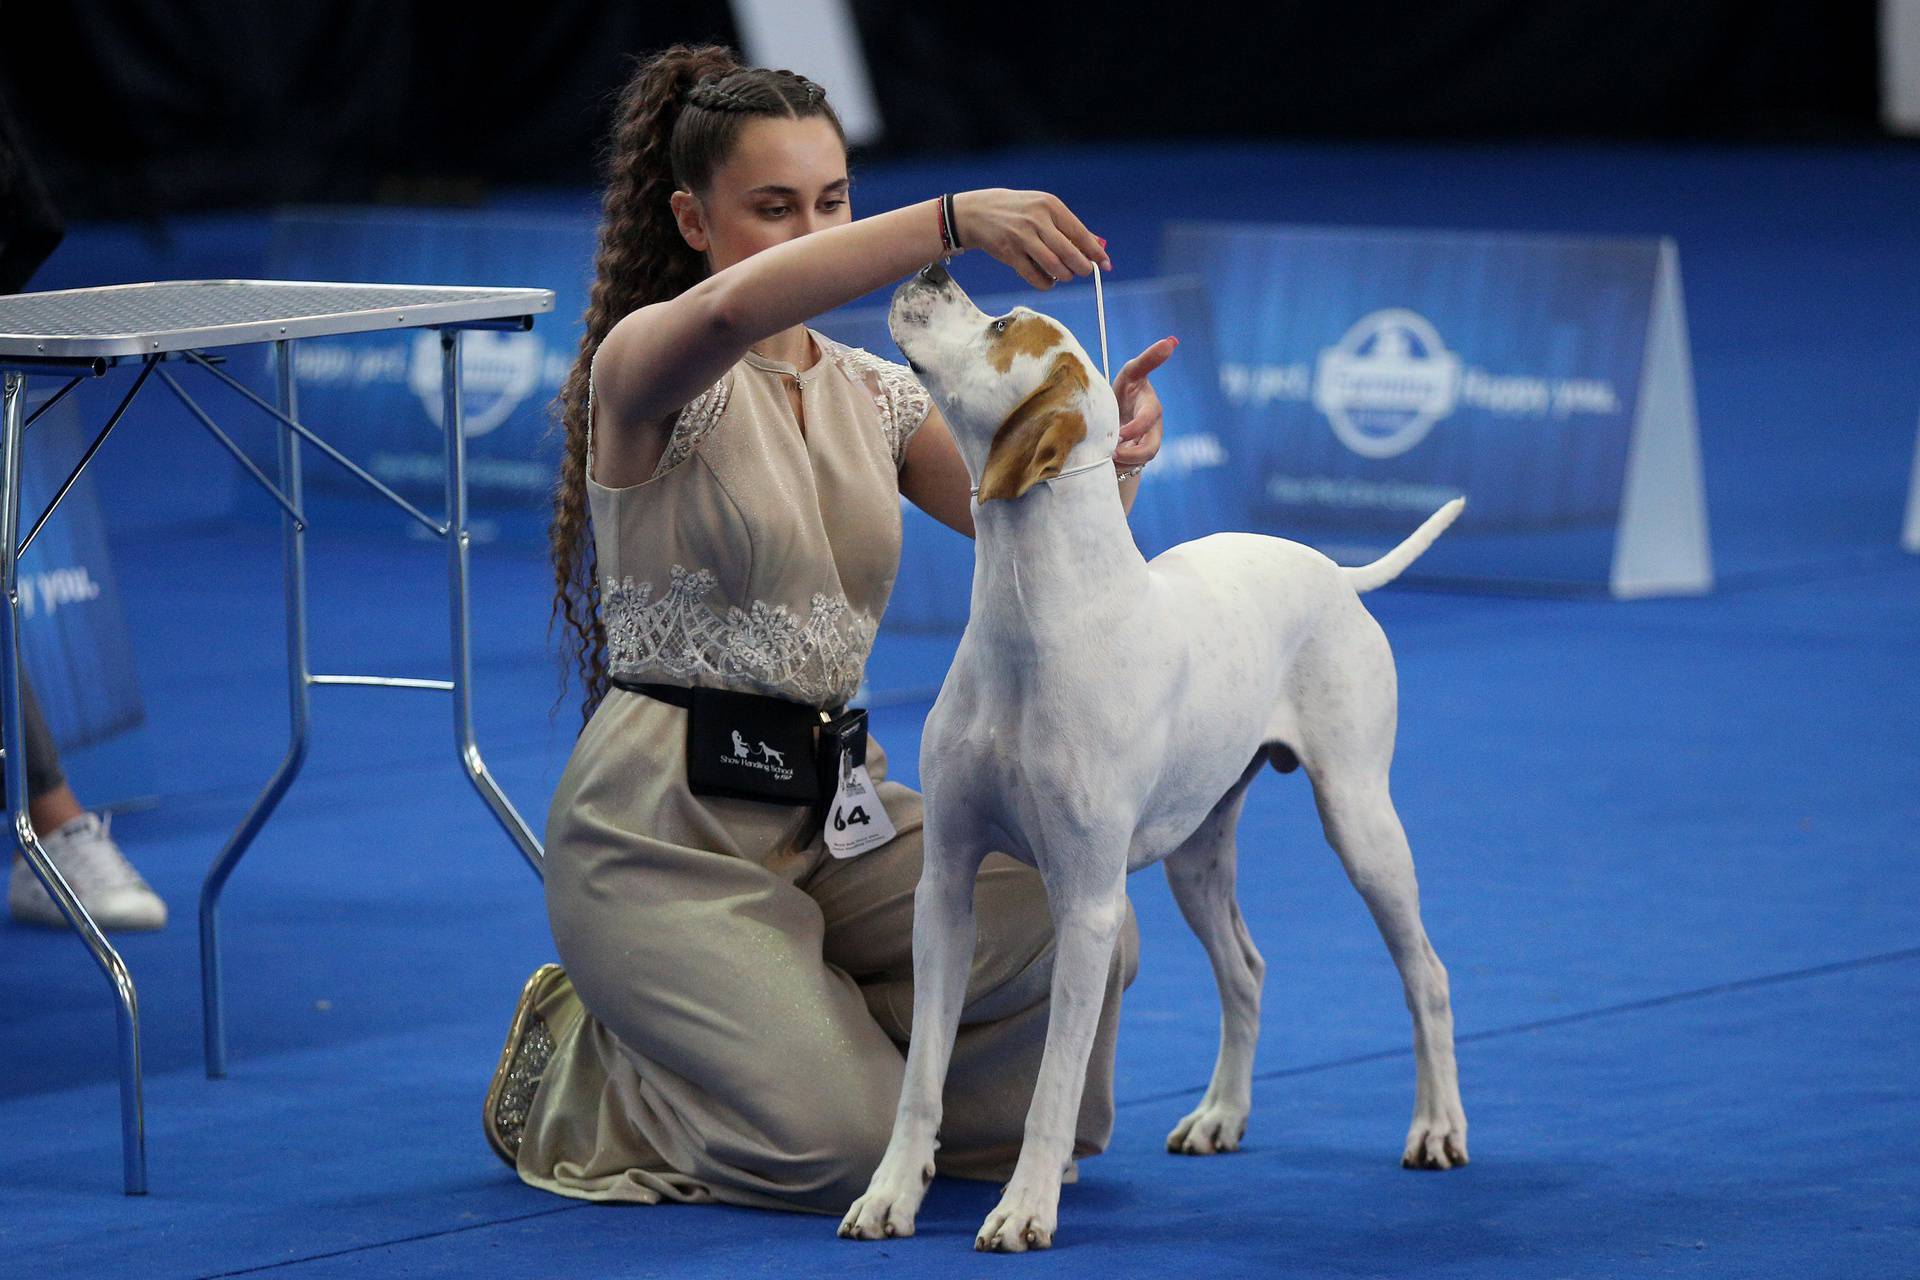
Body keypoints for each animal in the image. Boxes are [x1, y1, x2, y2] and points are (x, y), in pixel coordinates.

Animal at [840, 262, 1466, 1251]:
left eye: (1005, 323)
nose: (932, 266)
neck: (1031, 616)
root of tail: (1335, 572)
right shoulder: (944, 885)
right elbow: (921, 1076)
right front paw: (893, 1193)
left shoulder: (1089, 904)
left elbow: (1054, 1084)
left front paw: (1024, 1206)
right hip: (1195, 856)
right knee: (1246, 970)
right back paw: (1221, 1114)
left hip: (1362, 824)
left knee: (1427, 975)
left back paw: (1437, 1126)